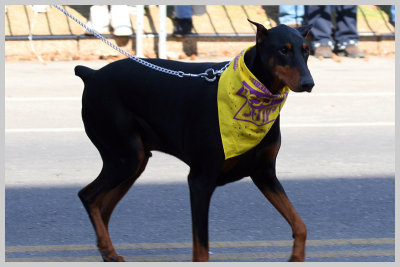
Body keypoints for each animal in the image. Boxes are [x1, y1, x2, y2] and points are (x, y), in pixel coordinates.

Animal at [74, 20, 312, 262]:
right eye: (283, 50)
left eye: (306, 50)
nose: (308, 83)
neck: (256, 95)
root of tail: (92, 74)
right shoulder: (200, 181)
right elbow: (201, 248)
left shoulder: (264, 173)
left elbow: (300, 225)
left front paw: (297, 257)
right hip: (126, 157)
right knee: (88, 196)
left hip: (134, 161)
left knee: (103, 206)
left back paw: (108, 252)